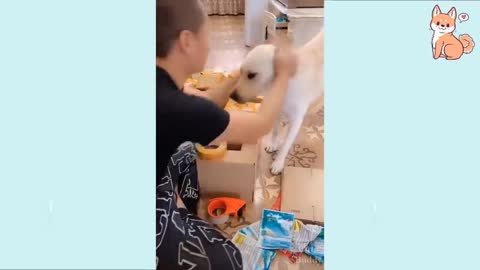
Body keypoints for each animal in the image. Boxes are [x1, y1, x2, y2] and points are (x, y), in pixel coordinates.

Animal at [232, 30, 324, 174]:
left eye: (251, 75)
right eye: (240, 72)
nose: (232, 96)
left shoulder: (296, 121)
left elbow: (286, 144)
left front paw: (278, 163)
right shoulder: (275, 111)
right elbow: (275, 131)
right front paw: (273, 144)